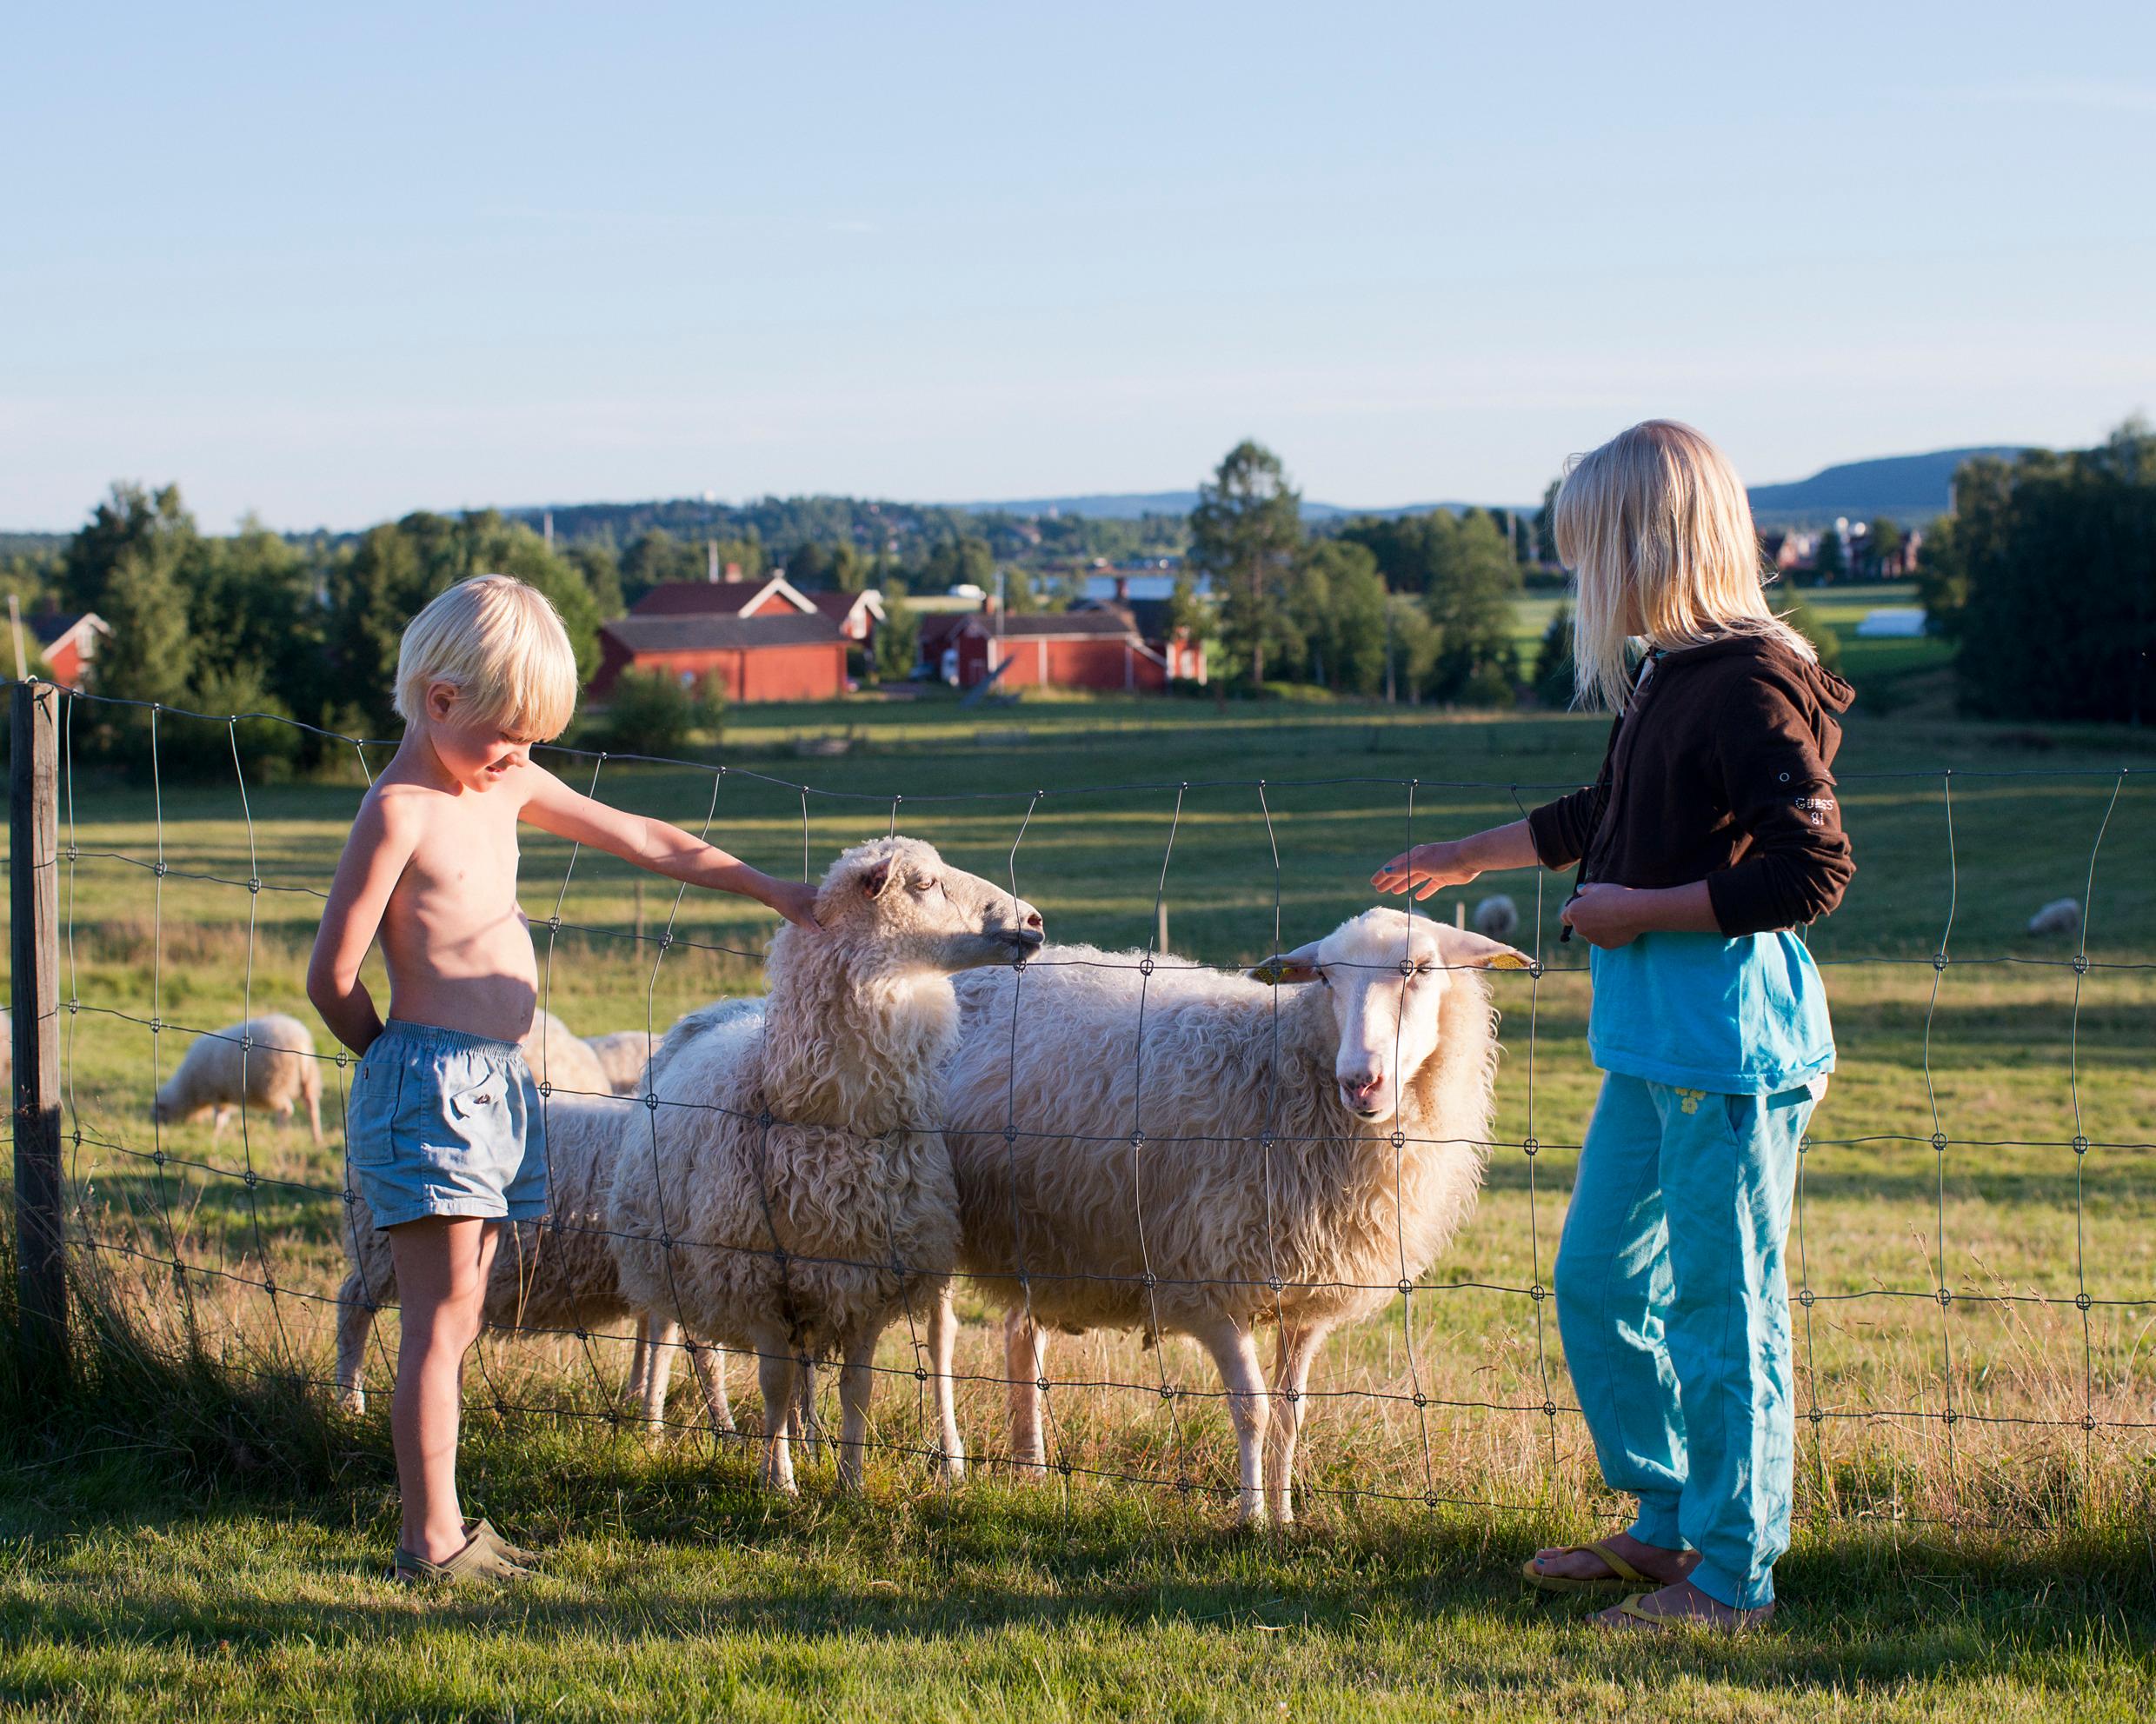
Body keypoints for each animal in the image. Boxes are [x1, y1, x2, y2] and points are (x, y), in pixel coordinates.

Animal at [151, 1008, 321, 1146]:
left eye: (160, 1112)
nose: (155, 1125)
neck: (188, 1089)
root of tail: (300, 1042)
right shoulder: (225, 1096)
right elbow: (223, 1117)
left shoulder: (216, 1094)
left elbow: (219, 1118)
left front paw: (214, 1136)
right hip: (308, 1080)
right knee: (311, 1107)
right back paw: (316, 1139)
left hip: (274, 1084)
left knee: (286, 1110)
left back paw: (279, 1134)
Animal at [608, 840, 1043, 1491]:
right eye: (923, 882)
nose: (1035, 920)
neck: (839, 1123)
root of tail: (727, 1006)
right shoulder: (758, 1278)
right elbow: (774, 1381)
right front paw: (779, 1482)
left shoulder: (867, 1279)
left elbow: (856, 1388)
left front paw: (851, 1484)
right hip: (667, 1252)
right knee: (676, 1340)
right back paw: (673, 1428)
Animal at [935, 909, 1526, 1517]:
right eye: (1325, 977)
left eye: (1421, 969)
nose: (1360, 1081)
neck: (1281, 1072)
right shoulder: (1209, 1286)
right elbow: (1253, 1409)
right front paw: (1250, 1516)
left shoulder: (1308, 1299)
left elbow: (1291, 1414)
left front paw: (1285, 1516)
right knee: (942, 1335)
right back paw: (952, 1459)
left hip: (1037, 1236)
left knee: (1020, 1336)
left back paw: (1030, 1467)